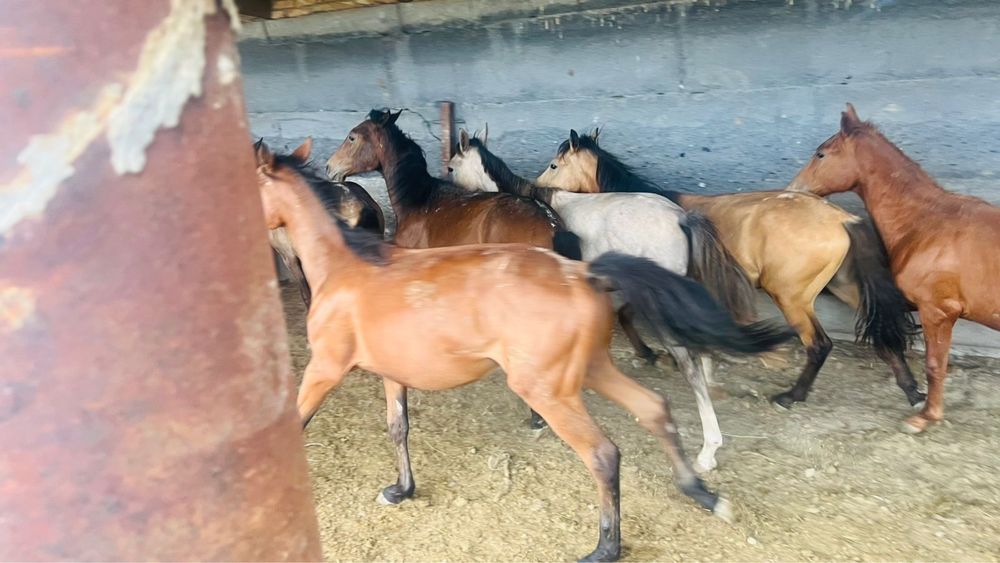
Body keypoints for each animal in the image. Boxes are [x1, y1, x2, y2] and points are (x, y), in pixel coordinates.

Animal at [536, 129, 925, 411]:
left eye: (554, 165)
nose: (536, 189)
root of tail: (841, 218)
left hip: (792, 297)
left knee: (819, 345)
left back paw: (791, 396)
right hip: (846, 287)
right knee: (884, 333)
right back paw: (913, 393)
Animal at [787, 103, 1000, 434]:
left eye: (821, 154)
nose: (794, 190)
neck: (928, 222)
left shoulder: (937, 311)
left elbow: (935, 366)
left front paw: (925, 417)